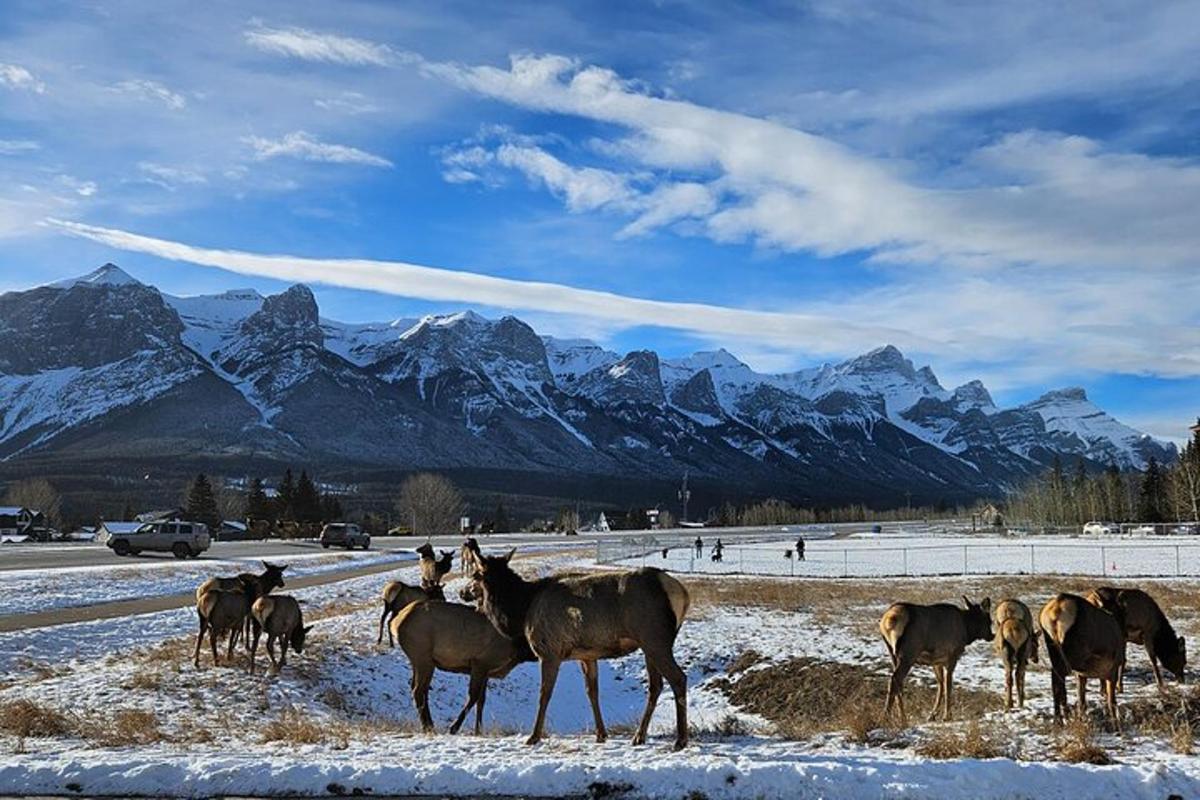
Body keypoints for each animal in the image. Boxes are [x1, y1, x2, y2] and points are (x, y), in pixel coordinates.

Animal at [388, 599, 535, 734]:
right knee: (418, 690)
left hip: (418, 661)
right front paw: (454, 727)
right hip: (423, 658)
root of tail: (395, 622)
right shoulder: (479, 663)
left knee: (418, 688)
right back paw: (428, 727)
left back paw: (429, 725)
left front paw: (478, 731)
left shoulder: (486, 671)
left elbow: (481, 701)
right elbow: (473, 697)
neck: (516, 647)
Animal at [463, 537, 691, 753]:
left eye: (475, 574)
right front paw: (601, 734)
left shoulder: (549, 651)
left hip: (655, 638)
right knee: (655, 685)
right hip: (648, 644)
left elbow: (544, 694)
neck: (522, 610)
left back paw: (680, 740)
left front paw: (533, 737)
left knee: (678, 678)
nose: (462, 592)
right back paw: (639, 736)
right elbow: (592, 692)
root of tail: (682, 593)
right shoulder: (587, 655)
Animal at [878, 594, 988, 724]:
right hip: (909, 652)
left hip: (892, 652)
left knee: (898, 681)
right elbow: (948, 685)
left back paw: (902, 717)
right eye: (988, 619)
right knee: (895, 679)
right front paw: (947, 716)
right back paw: (887, 716)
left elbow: (940, 685)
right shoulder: (952, 656)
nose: (992, 635)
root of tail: (890, 618)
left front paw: (933, 715)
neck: (966, 630)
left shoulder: (937, 661)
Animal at [1041, 594, 1123, 724]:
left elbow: (1082, 701)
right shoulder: (1112, 670)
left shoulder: (1081, 675)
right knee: (1059, 675)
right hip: (1074, 655)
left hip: (1053, 648)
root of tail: (1055, 611)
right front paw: (1115, 721)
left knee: (1056, 679)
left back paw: (1060, 717)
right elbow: (1112, 701)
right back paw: (1062, 716)